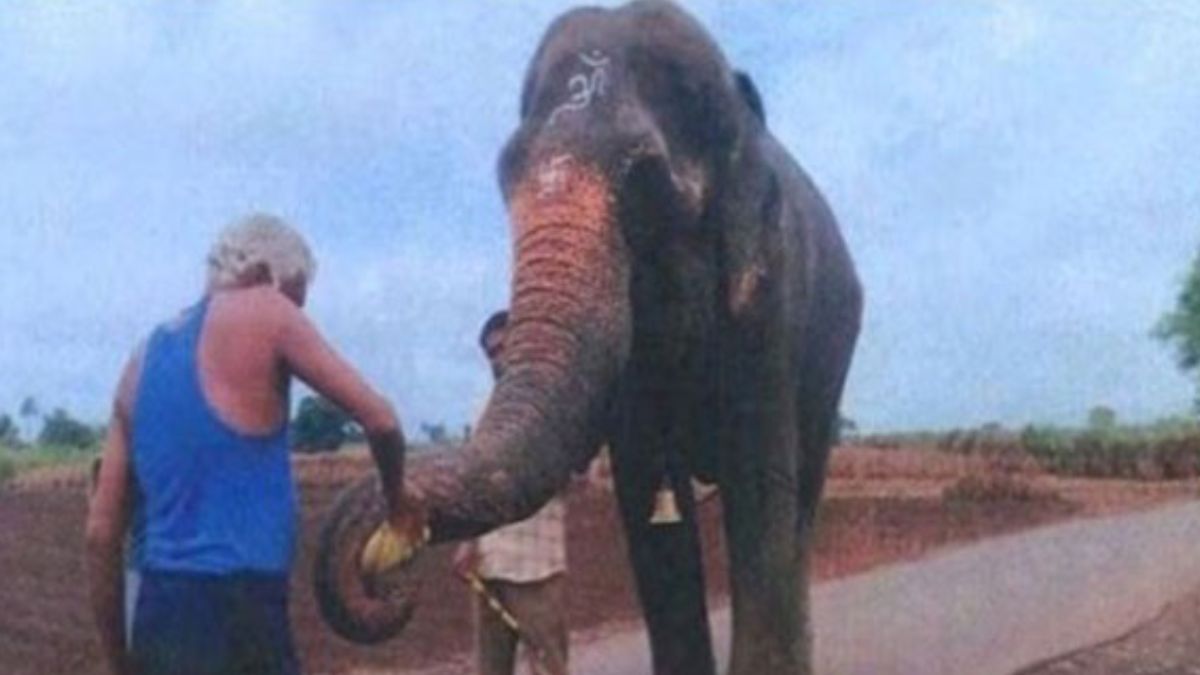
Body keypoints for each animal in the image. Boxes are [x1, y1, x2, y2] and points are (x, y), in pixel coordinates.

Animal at [317, 2, 862, 674]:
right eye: (504, 174)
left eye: (647, 180)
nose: (388, 550)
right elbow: (647, 511)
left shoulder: (772, 302)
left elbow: (761, 498)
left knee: (801, 508)